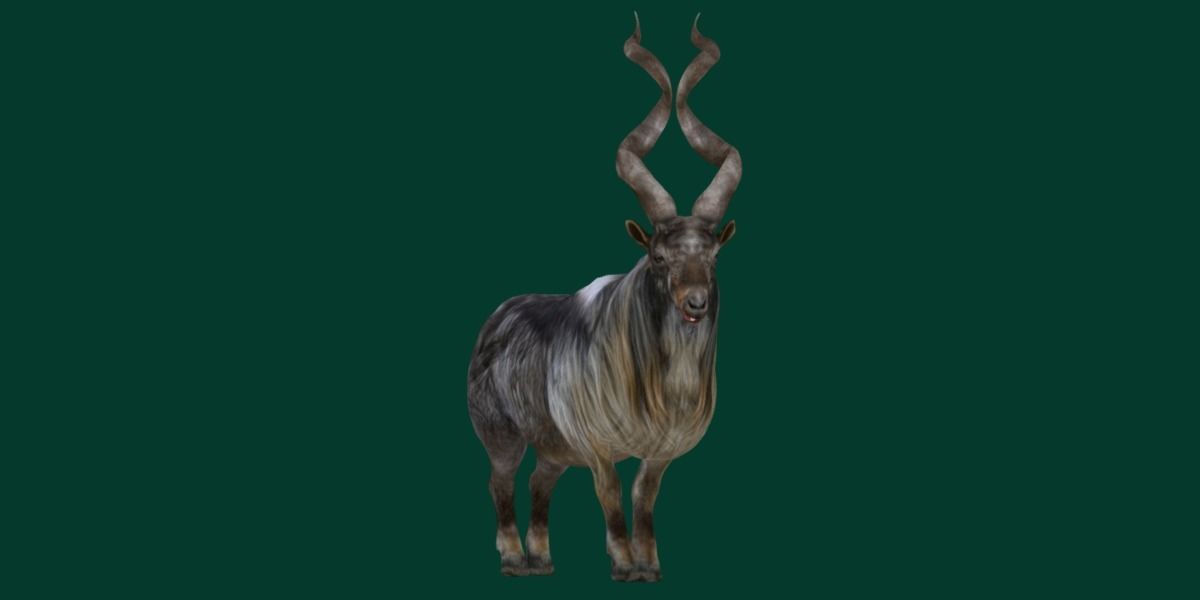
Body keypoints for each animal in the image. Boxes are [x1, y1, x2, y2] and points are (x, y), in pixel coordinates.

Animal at [467, 14, 741, 582]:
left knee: (539, 481)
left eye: (713, 256)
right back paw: (513, 558)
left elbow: (644, 497)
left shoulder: (659, 452)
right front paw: (623, 565)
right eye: (657, 256)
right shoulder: (596, 445)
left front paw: (650, 565)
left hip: (552, 447)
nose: (695, 303)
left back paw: (543, 559)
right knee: (502, 480)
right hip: (502, 434)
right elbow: (612, 494)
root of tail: (495, 319)